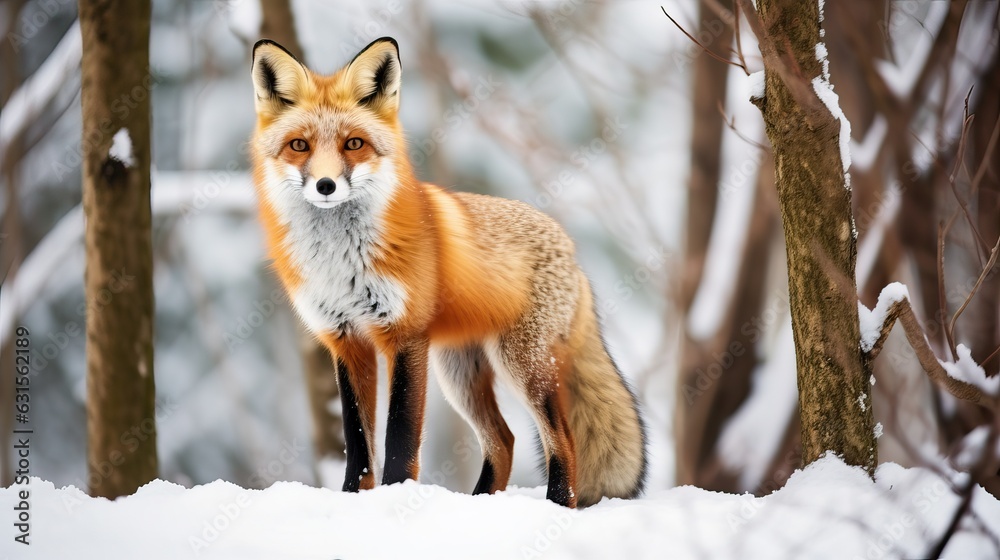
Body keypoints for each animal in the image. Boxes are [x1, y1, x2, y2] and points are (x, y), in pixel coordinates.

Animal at [248, 37, 646, 508]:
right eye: (299, 146)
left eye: (353, 143)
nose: (325, 186)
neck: (340, 261)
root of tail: (571, 250)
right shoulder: (346, 341)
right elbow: (358, 444)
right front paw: (353, 501)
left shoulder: (404, 336)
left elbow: (400, 440)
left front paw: (396, 498)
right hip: (459, 374)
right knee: (504, 441)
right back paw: (479, 503)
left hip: (522, 365)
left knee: (561, 441)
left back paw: (554, 506)